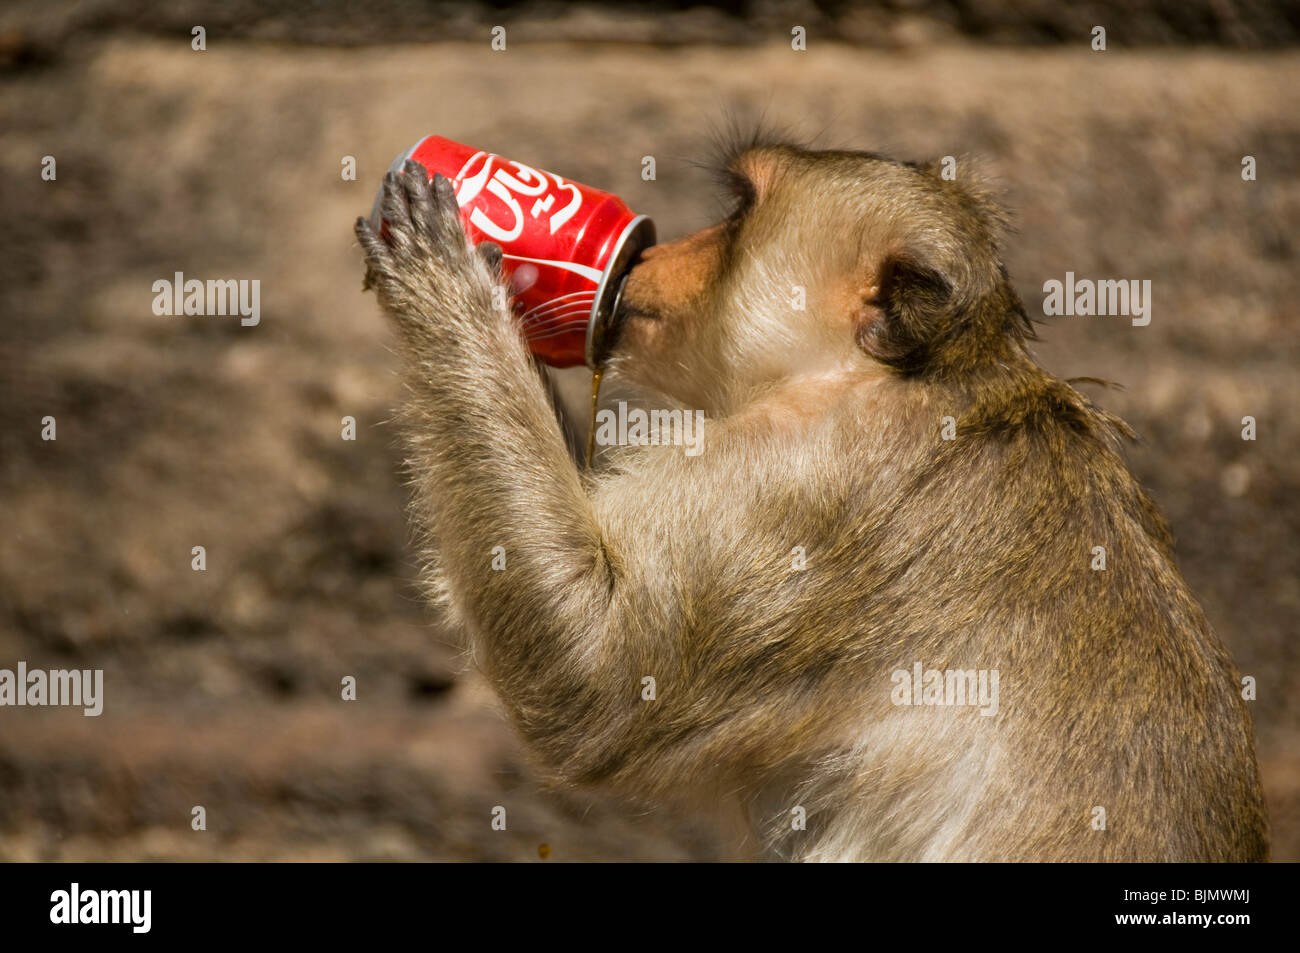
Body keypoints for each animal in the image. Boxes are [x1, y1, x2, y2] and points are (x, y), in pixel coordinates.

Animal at [356, 135, 1268, 863]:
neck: (890, 375)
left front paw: (445, 274)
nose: (645, 253)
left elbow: (592, 680)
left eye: (737, 212)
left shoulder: (795, 488)